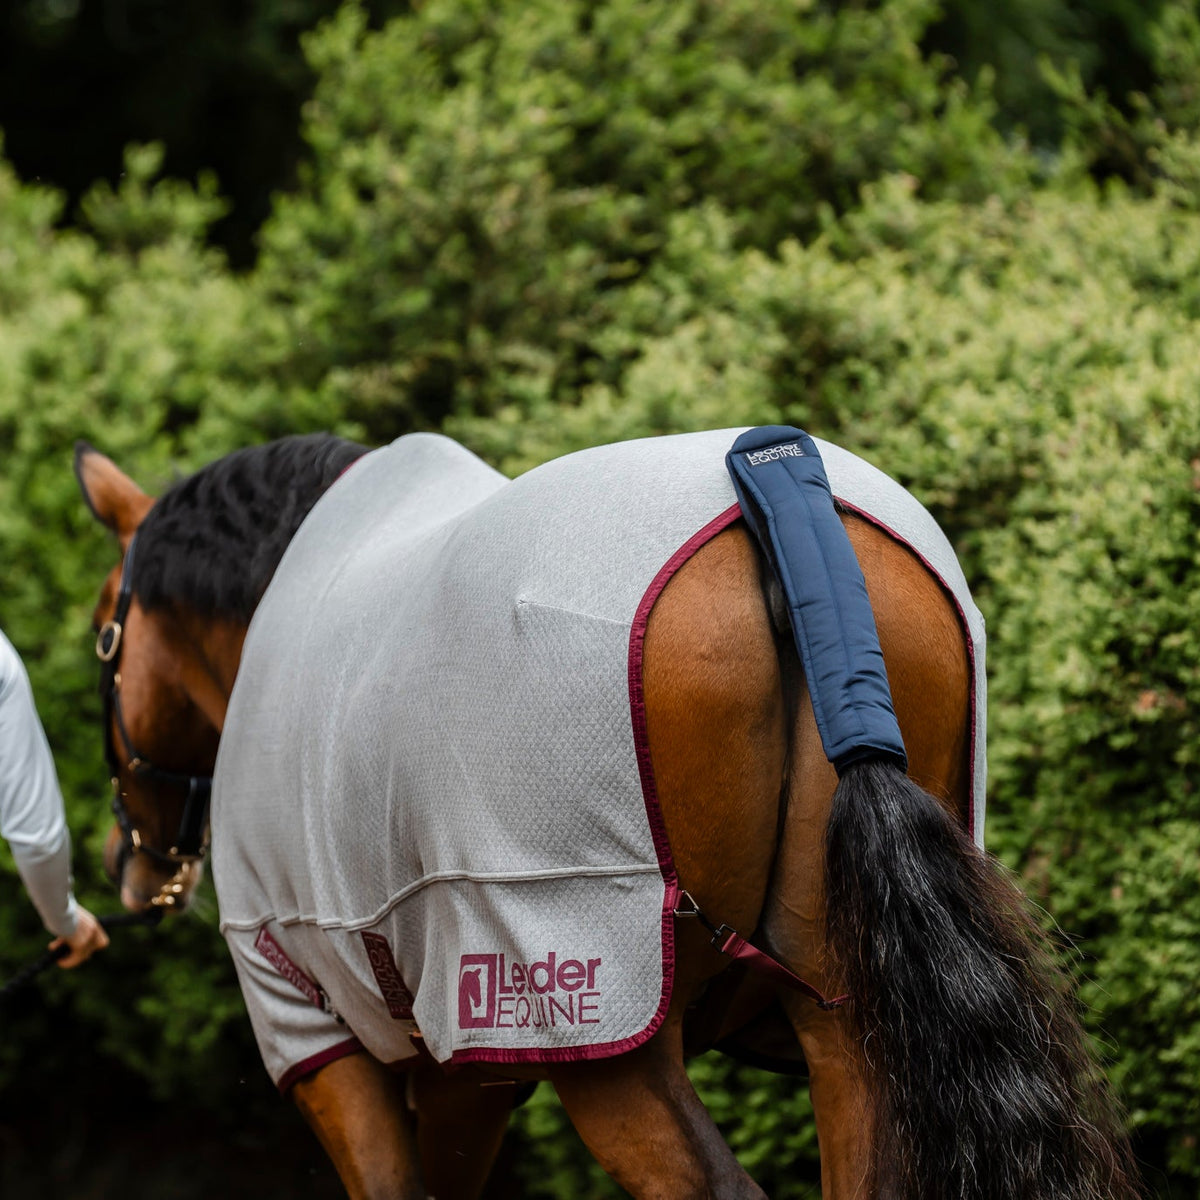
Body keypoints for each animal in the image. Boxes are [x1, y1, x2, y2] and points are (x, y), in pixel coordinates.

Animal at [74, 429, 1140, 1200]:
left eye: (103, 635)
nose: (131, 863)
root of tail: (777, 487)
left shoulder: (316, 1028)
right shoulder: (472, 1068)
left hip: (596, 1022)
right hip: (845, 1017)